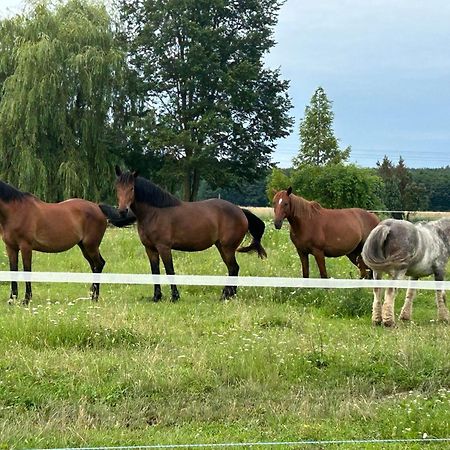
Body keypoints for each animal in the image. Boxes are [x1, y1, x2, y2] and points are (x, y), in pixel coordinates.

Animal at [103, 166, 268, 302]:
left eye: (132, 188)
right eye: (117, 188)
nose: (122, 211)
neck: (154, 212)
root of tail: (240, 211)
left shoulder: (164, 247)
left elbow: (170, 270)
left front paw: (174, 297)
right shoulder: (150, 249)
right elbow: (155, 271)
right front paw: (157, 297)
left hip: (227, 248)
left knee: (233, 268)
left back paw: (226, 296)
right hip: (222, 247)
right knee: (233, 268)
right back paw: (228, 295)